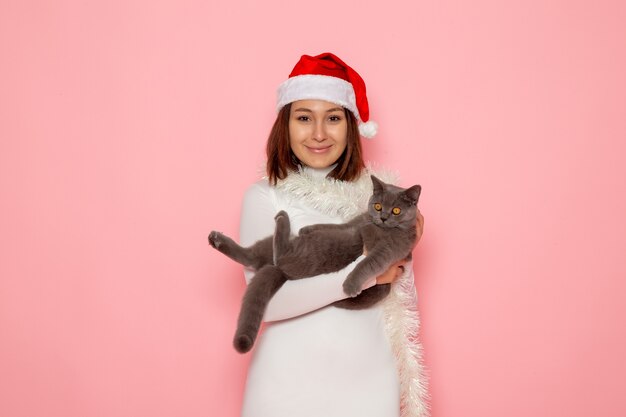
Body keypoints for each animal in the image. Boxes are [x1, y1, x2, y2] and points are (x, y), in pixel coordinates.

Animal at [208, 174, 420, 352]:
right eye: (377, 206)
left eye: (396, 210)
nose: (383, 217)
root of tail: (282, 271)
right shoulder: (353, 223)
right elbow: (335, 225)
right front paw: (307, 228)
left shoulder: (388, 251)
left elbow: (367, 263)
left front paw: (350, 285)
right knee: (253, 256)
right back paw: (217, 240)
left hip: (332, 245)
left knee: (278, 253)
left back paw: (282, 219)